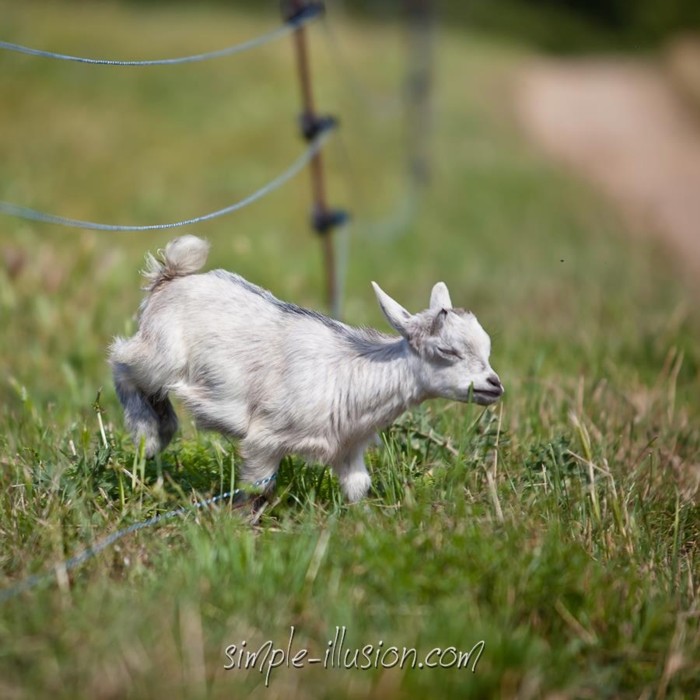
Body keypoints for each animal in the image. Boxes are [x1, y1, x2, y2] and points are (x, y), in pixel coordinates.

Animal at [109, 238, 504, 500]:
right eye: (446, 350)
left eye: (486, 347)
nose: (494, 385)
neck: (356, 372)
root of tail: (170, 278)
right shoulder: (264, 439)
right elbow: (256, 490)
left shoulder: (348, 449)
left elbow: (358, 488)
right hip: (159, 355)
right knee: (120, 361)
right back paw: (148, 435)